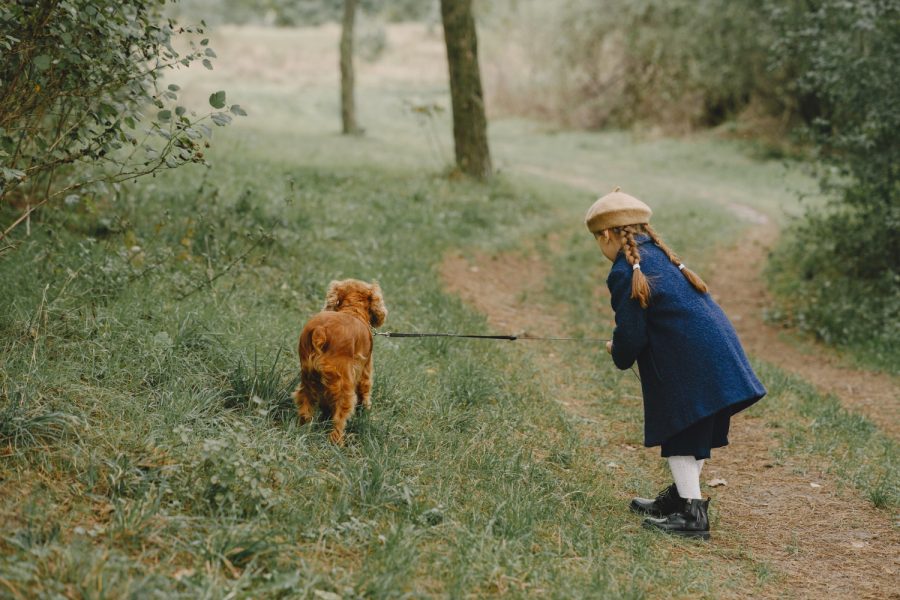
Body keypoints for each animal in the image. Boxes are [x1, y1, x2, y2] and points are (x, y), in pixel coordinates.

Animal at [290, 278, 384, 442]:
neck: (353, 310)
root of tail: (321, 331)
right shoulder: (365, 370)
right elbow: (365, 391)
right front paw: (366, 411)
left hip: (308, 376)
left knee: (305, 404)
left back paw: (303, 429)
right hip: (343, 384)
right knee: (339, 417)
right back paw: (337, 441)